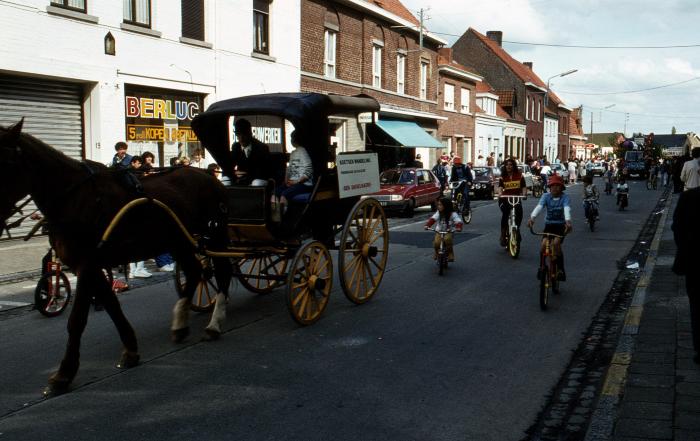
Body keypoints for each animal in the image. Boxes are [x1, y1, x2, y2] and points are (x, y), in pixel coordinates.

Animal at [0, 120, 235, 396]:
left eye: (4, 161)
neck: (76, 198)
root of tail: (210, 177)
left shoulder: (88, 264)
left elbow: (77, 320)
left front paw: (64, 374)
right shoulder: (88, 266)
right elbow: (111, 305)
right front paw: (130, 350)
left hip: (214, 235)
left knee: (222, 273)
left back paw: (214, 324)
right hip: (179, 241)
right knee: (195, 271)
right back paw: (180, 325)